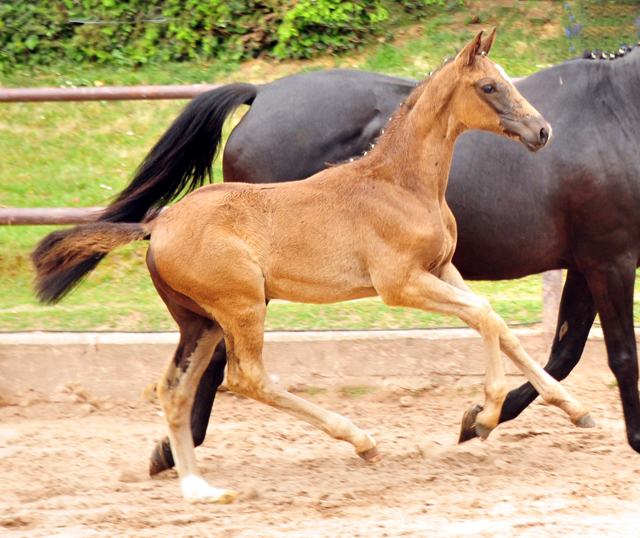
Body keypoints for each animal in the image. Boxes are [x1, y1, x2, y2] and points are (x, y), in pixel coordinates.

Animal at [32, 30, 592, 502]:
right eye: (489, 85)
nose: (542, 130)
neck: (400, 184)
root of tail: (157, 224)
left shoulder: (442, 269)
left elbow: (497, 323)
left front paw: (575, 410)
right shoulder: (400, 284)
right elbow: (485, 317)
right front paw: (484, 415)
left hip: (200, 321)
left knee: (175, 391)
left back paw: (198, 488)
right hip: (241, 307)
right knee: (247, 378)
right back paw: (360, 440)